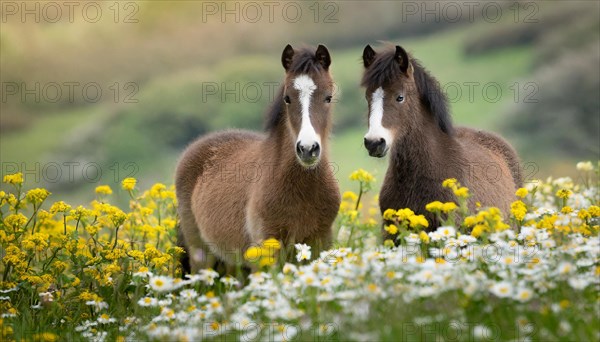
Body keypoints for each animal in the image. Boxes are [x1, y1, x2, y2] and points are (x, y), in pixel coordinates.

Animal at [176, 44, 340, 272]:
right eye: (287, 98)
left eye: (328, 97)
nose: (308, 149)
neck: (303, 190)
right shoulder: (267, 247)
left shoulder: (320, 241)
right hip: (201, 254)